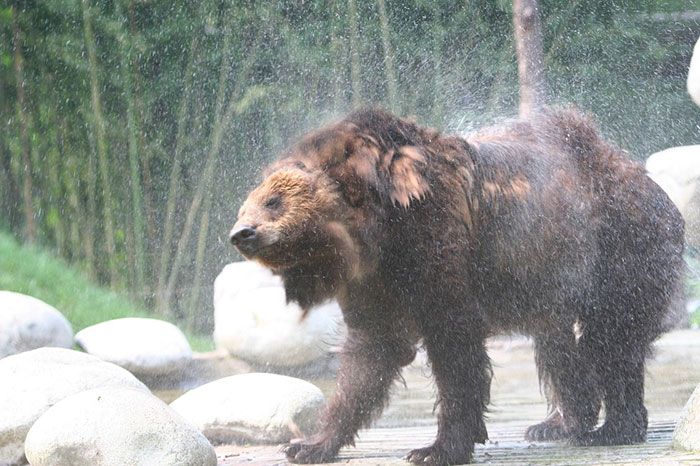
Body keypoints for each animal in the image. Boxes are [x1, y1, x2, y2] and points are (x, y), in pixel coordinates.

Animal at [229, 108, 685, 466]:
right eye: (246, 203)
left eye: (273, 202)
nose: (241, 233)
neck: (378, 231)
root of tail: (646, 177)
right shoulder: (374, 281)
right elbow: (370, 352)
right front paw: (309, 444)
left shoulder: (436, 248)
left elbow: (454, 348)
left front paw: (436, 449)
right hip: (547, 283)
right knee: (556, 344)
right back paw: (557, 423)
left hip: (619, 251)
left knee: (612, 338)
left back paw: (614, 428)